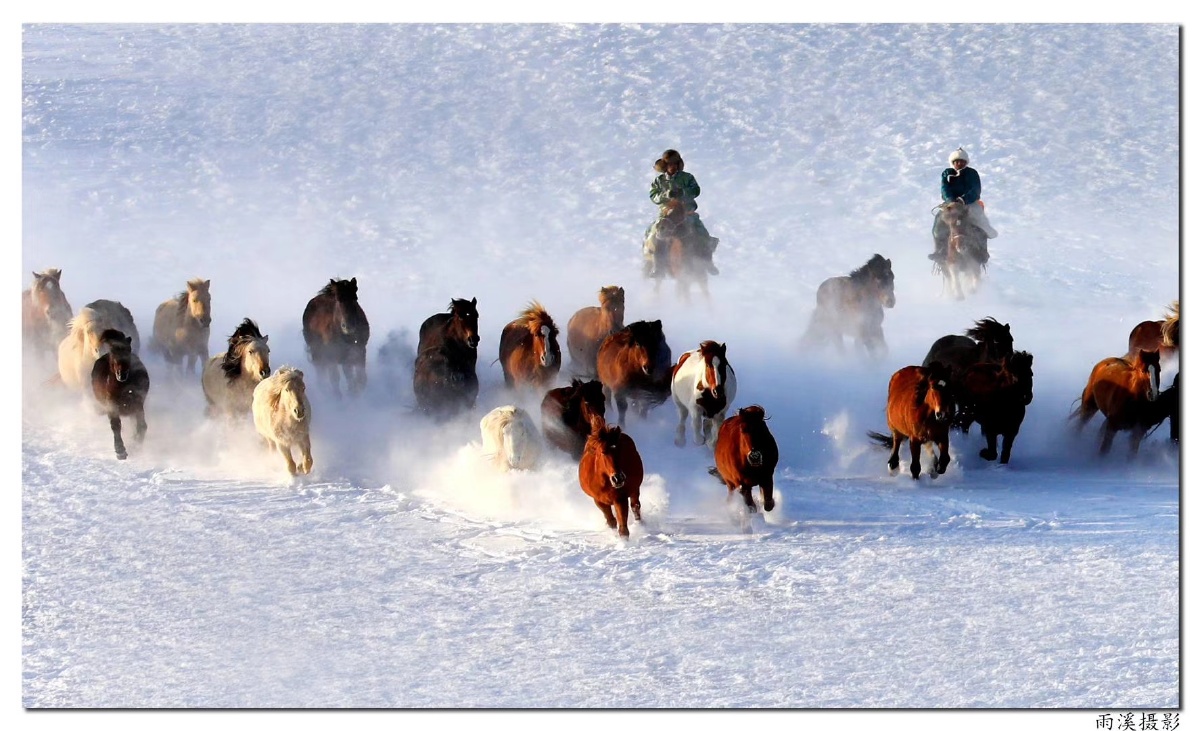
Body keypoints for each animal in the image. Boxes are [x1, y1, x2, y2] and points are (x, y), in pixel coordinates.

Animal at [90, 329, 150, 460]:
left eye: (128, 350)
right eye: (113, 353)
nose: (122, 374)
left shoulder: (138, 403)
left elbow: (142, 426)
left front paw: (136, 444)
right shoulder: (112, 406)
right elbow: (116, 425)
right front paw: (120, 451)